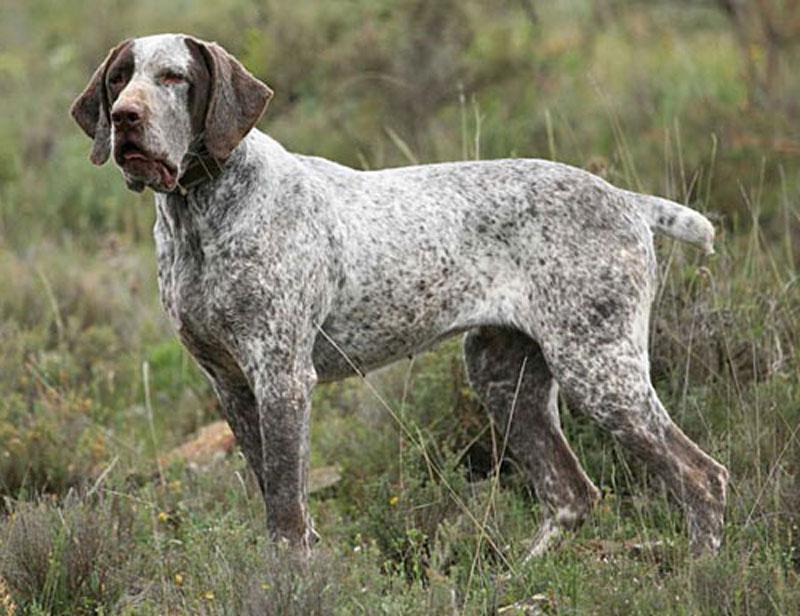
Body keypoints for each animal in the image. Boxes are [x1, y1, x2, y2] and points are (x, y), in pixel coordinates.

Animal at [72, 33, 728, 560]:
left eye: (174, 77)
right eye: (118, 79)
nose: (126, 117)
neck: (200, 213)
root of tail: (626, 199)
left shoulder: (283, 378)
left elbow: (286, 510)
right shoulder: (230, 384)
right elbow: (274, 494)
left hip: (599, 369)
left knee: (702, 476)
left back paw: (700, 570)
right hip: (503, 376)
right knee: (573, 493)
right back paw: (517, 574)